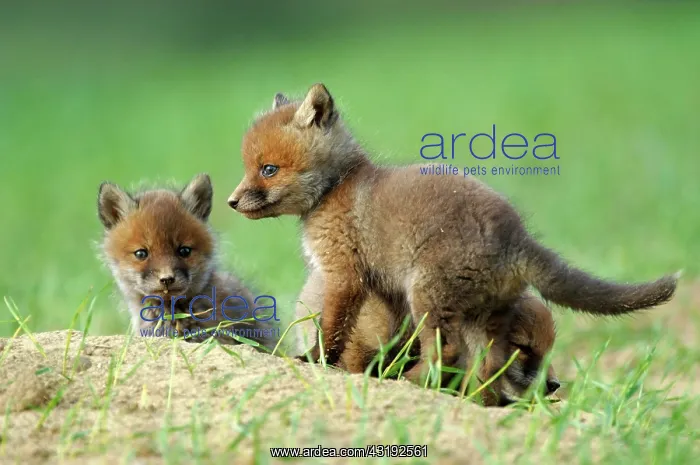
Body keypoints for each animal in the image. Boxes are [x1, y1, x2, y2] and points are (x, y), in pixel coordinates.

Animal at [227, 83, 679, 385]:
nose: (230, 202)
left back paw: (412, 383)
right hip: (484, 316)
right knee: (487, 364)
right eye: (250, 167)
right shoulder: (384, 289)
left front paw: (318, 361)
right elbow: (386, 334)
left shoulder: (344, 275)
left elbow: (333, 326)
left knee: (446, 352)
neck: (337, 186)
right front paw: (372, 366)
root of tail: (518, 236)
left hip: (429, 296)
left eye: (268, 169)